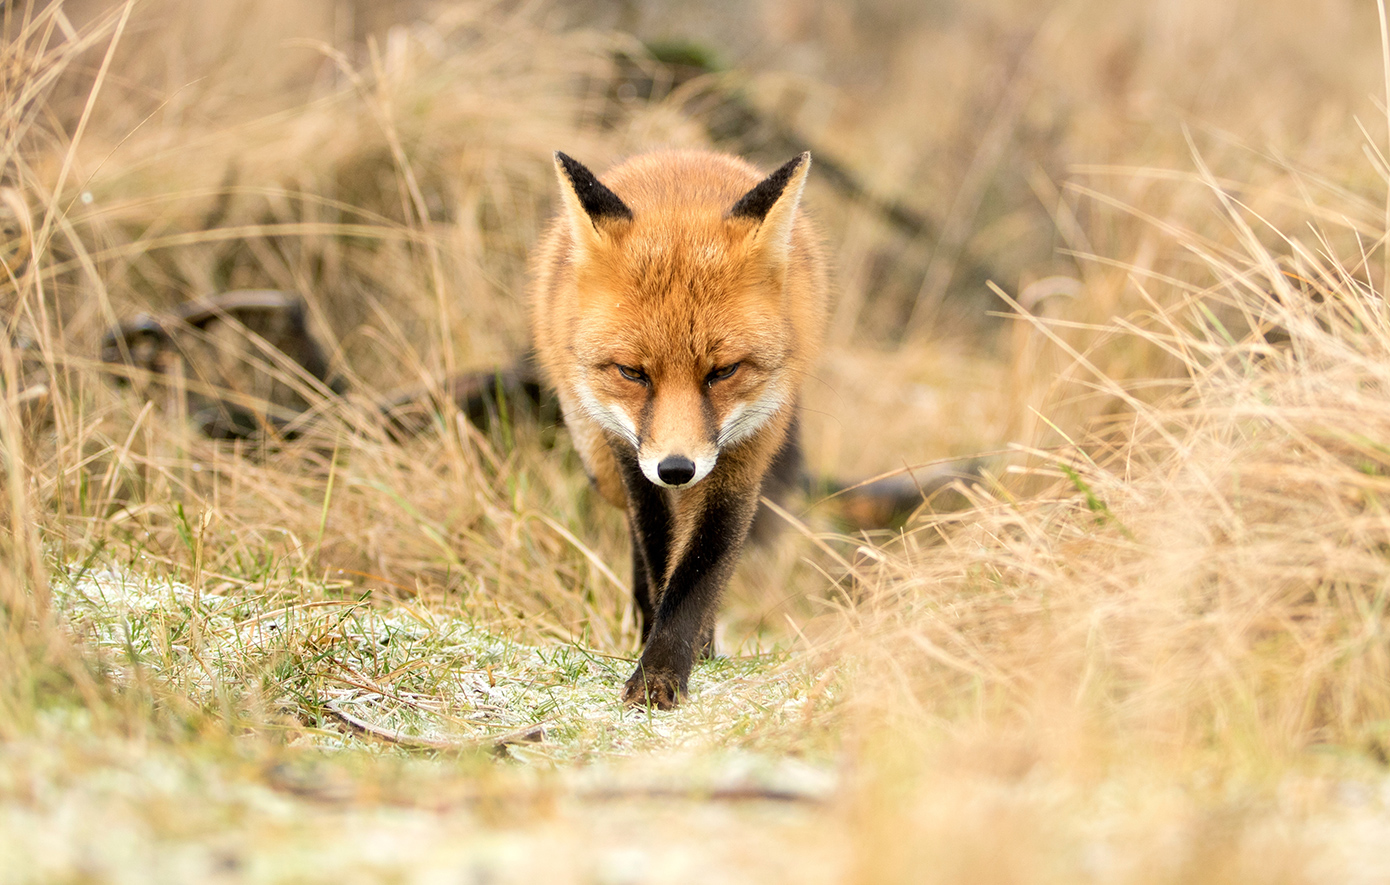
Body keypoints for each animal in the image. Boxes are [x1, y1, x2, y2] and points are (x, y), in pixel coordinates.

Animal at [530, 148, 822, 708]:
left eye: (723, 371)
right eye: (632, 373)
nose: (676, 469)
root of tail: (679, 153)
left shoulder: (742, 459)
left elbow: (699, 571)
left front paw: (663, 671)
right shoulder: (633, 459)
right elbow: (659, 555)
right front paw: (654, 654)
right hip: (600, 460)